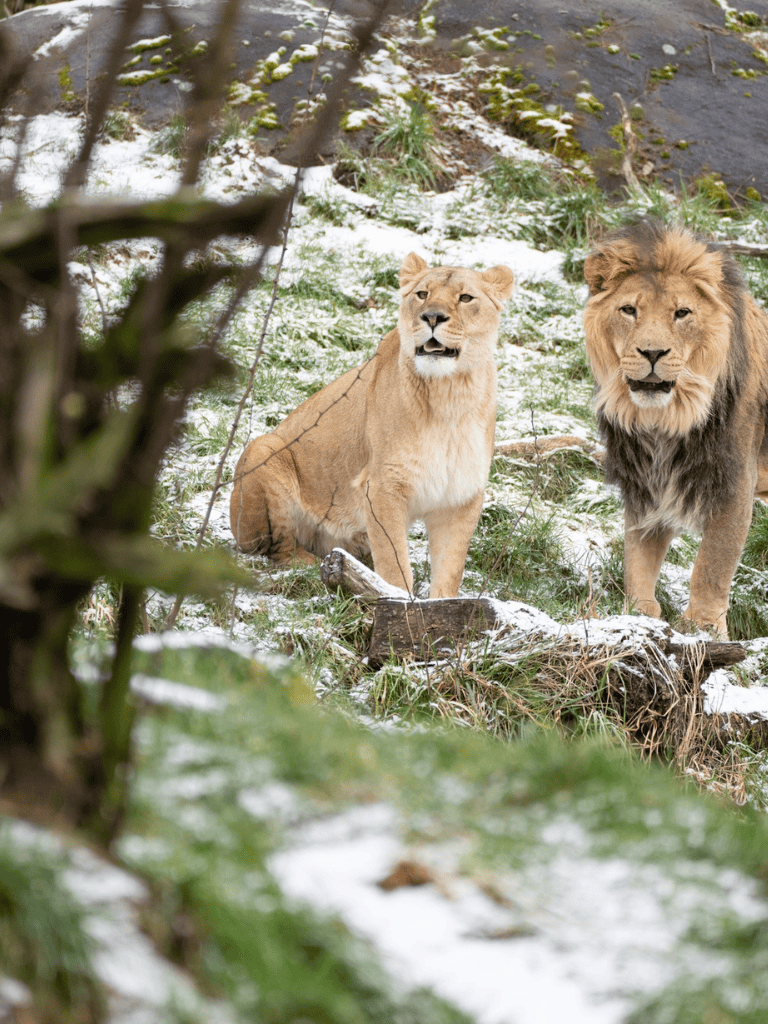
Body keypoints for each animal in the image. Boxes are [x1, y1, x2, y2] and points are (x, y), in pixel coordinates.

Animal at [230, 253, 515, 597]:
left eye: (465, 298)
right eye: (422, 294)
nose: (431, 317)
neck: (449, 395)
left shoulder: (460, 496)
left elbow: (450, 569)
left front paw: (440, 604)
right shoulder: (381, 487)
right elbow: (394, 562)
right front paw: (397, 600)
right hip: (264, 448)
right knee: (276, 549)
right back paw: (309, 563)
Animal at [583, 218, 768, 638]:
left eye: (682, 313)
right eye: (629, 310)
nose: (653, 353)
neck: (665, 420)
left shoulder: (734, 483)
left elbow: (713, 565)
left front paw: (703, 628)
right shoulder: (646, 481)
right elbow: (638, 556)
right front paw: (637, 616)